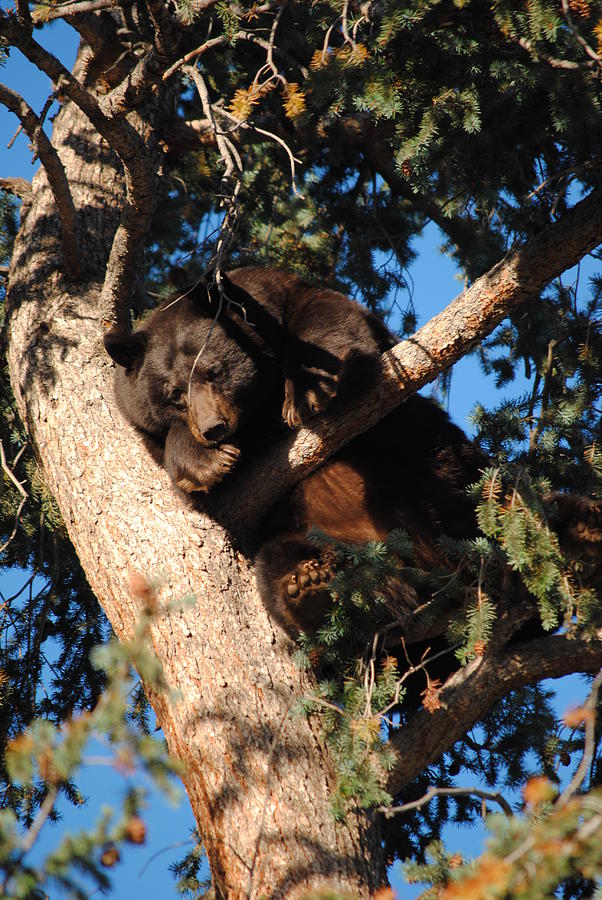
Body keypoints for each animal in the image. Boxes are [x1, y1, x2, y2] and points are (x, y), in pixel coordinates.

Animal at [104, 268, 600, 640]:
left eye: (215, 370)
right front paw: (203, 461)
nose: (213, 428)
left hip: (443, 471)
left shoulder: (273, 298)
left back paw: (577, 529)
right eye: (173, 393)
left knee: (501, 501)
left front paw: (308, 390)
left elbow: (326, 313)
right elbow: (193, 480)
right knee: (282, 565)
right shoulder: (144, 430)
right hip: (319, 539)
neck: (256, 416)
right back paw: (310, 590)